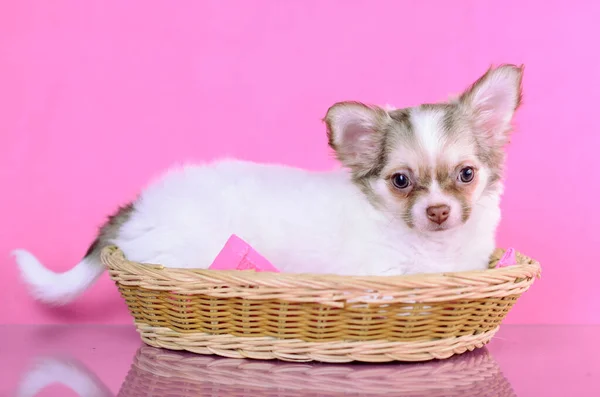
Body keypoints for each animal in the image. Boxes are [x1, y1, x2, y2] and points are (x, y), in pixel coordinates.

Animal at [11, 65, 524, 306]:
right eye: (401, 181)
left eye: (466, 175)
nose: (437, 211)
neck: (432, 249)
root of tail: (140, 207)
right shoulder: (381, 278)